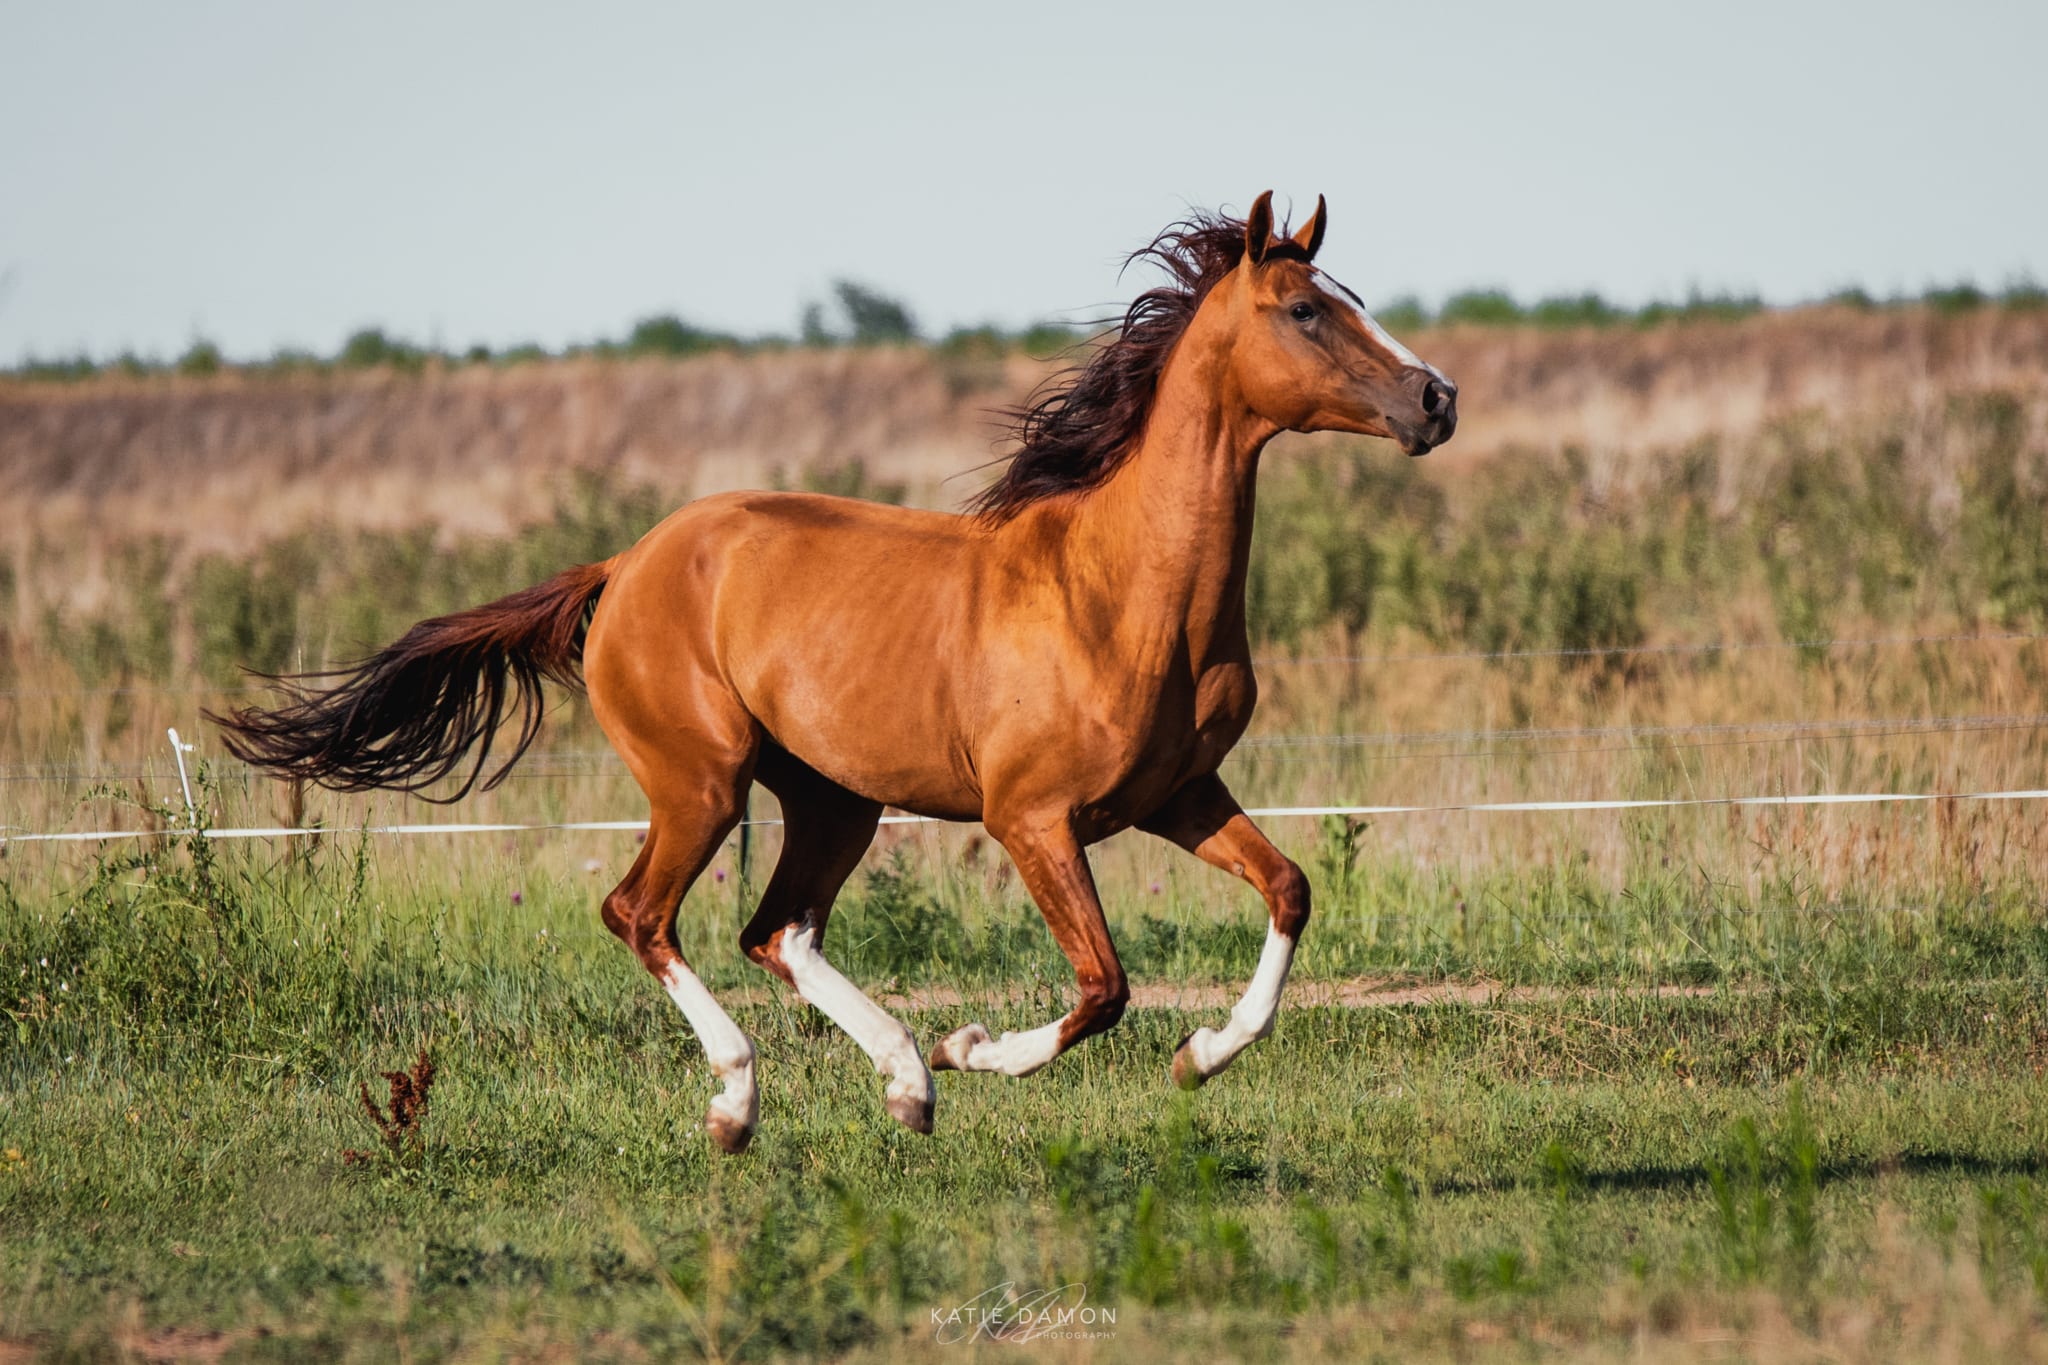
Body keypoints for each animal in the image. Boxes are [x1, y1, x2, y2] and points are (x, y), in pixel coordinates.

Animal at [211, 191, 1458, 1154]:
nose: (1435, 400)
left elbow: (1289, 889)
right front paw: (975, 1047)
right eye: (1305, 309)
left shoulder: (1175, 795)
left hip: (830, 797)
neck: (1123, 597)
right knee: (642, 914)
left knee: (777, 931)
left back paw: (903, 1085)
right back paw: (745, 1103)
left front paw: (1200, 1058)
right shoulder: (1032, 819)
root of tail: (624, 565)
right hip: (702, 783)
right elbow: (1103, 986)